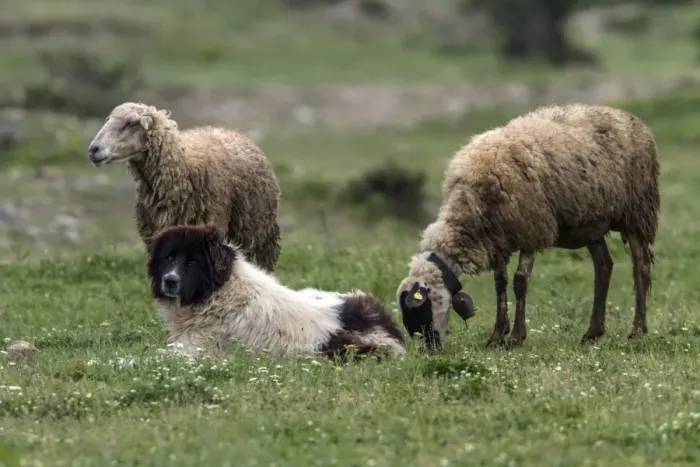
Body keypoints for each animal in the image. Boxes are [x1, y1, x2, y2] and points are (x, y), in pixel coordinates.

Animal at [146, 224, 406, 360]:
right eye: (169, 258)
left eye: (192, 262)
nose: (170, 281)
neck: (220, 292)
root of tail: (385, 324)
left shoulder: (195, 350)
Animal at [396, 103, 660, 351]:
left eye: (420, 309)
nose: (429, 349)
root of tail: (629, 117)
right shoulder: (497, 240)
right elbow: (500, 284)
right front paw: (496, 336)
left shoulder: (531, 230)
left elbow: (520, 283)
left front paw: (515, 338)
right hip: (592, 223)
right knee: (604, 266)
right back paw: (593, 333)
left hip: (638, 211)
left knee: (641, 269)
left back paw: (637, 330)